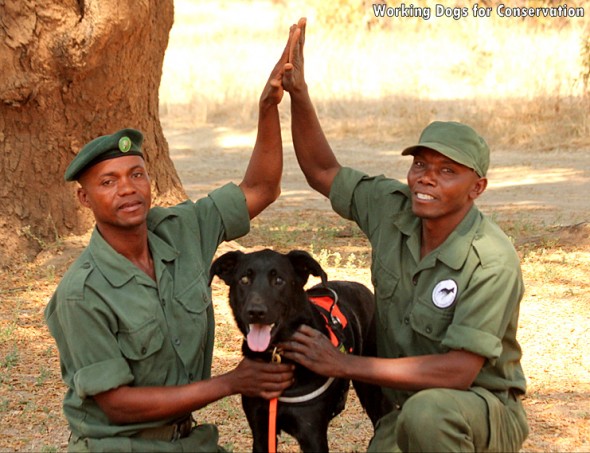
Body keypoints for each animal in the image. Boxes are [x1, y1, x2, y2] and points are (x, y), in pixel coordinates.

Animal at [210, 249, 386, 450]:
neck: (277, 355)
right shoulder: (261, 431)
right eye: (244, 280)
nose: (255, 312)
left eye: (279, 280)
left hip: (372, 391)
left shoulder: (312, 435)